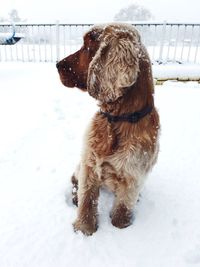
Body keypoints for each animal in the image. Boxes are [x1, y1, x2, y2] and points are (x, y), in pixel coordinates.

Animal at [56, 23, 159, 237]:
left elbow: (123, 206)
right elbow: (87, 199)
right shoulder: (89, 163)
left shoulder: (134, 175)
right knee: (74, 181)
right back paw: (74, 197)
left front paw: (122, 226)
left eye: (87, 46)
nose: (57, 64)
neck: (118, 119)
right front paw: (83, 229)